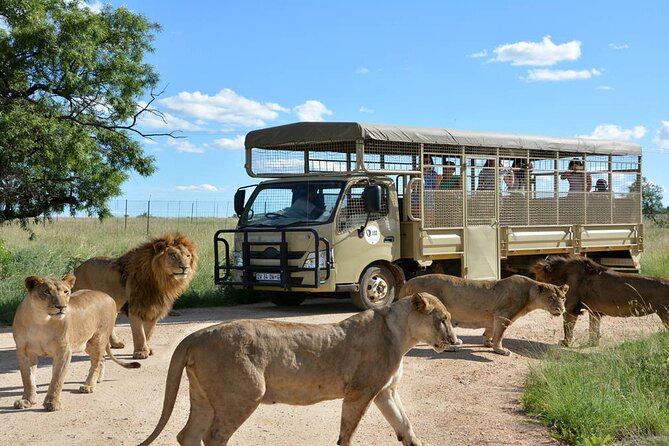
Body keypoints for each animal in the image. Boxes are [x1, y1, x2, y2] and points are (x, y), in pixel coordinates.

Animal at [12, 275, 140, 411]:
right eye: (46, 292)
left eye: (66, 292)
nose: (61, 307)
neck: (41, 320)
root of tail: (108, 296)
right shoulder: (23, 351)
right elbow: (27, 378)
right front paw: (26, 400)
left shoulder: (63, 351)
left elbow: (57, 379)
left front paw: (52, 403)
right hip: (87, 344)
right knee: (101, 359)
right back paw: (98, 380)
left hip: (98, 339)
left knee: (96, 363)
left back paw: (88, 386)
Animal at [139, 292, 457, 446]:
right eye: (443, 319)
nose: (455, 341)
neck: (401, 334)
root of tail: (195, 336)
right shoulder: (360, 391)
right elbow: (347, 433)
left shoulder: (385, 392)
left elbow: (405, 425)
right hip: (244, 394)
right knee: (213, 437)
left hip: (203, 397)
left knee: (188, 436)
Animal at [399, 274, 568, 355]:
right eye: (551, 298)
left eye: (563, 298)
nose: (561, 310)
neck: (529, 295)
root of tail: (407, 283)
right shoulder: (503, 315)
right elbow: (499, 335)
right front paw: (500, 350)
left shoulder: (494, 316)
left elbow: (490, 331)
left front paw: (488, 343)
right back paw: (451, 347)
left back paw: (457, 341)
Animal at [532, 255, 669, 347]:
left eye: (538, 278)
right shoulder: (595, 311)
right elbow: (594, 329)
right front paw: (592, 344)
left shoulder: (570, 309)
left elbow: (568, 328)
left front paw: (565, 343)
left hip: (666, 316)